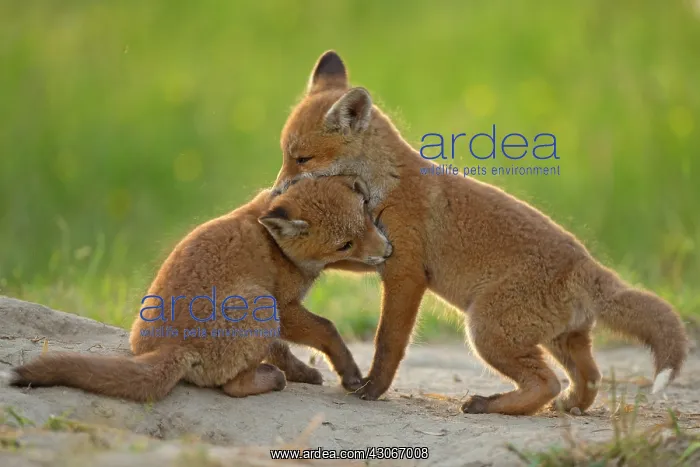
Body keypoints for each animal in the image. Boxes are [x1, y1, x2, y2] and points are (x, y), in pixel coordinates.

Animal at [3, 176, 392, 402]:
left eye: (366, 213)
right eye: (344, 245)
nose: (388, 250)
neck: (274, 245)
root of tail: (173, 347)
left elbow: (281, 350)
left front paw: (306, 374)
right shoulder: (284, 306)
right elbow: (327, 330)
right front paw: (350, 374)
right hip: (260, 306)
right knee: (232, 388)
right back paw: (270, 380)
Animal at [271, 50, 689, 415]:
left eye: (302, 159)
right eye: (285, 156)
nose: (274, 193)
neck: (385, 186)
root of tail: (588, 264)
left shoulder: (404, 272)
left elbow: (388, 342)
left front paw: (374, 388)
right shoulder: (374, 250)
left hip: (486, 331)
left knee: (547, 383)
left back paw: (488, 405)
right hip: (557, 338)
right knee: (590, 377)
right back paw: (569, 406)